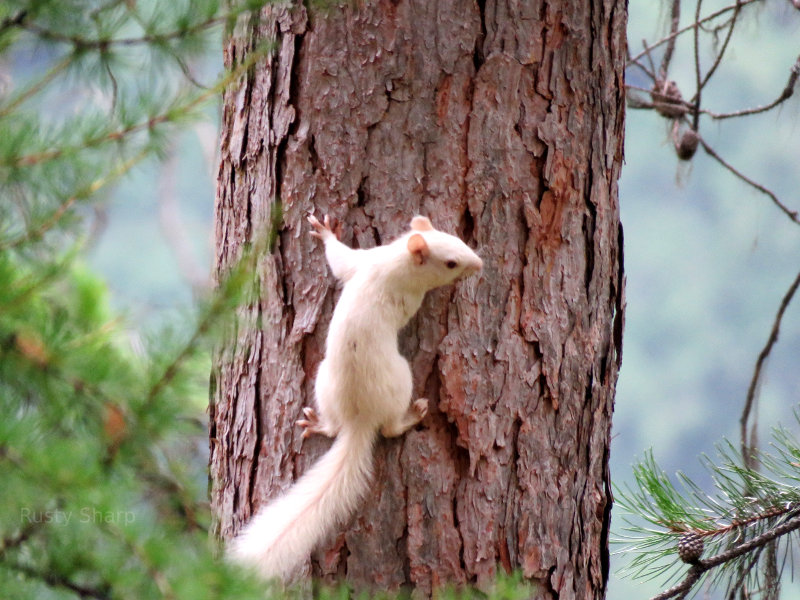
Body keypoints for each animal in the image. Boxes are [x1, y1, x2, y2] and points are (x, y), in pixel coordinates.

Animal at [228, 212, 484, 580]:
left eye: (458, 239)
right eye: (451, 262)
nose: (479, 264)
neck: (393, 262)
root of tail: (359, 420)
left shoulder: (363, 261)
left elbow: (340, 262)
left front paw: (325, 233)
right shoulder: (405, 294)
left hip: (323, 380)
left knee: (334, 425)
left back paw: (319, 424)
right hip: (401, 378)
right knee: (390, 428)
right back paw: (413, 415)